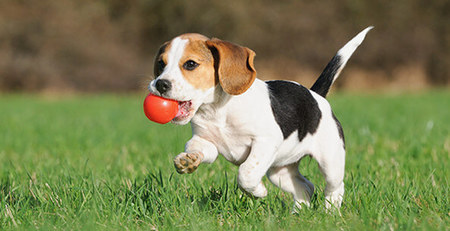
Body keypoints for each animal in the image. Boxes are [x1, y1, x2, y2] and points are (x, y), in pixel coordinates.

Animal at [148, 26, 372, 209]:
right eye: (161, 63)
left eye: (190, 64)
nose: (160, 84)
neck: (217, 110)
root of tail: (315, 95)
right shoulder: (206, 141)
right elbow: (197, 148)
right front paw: (188, 160)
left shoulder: (265, 142)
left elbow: (246, 173)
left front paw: (258, 192)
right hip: (279, 171)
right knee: (306, 187)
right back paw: (297, 214)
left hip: (330, 162)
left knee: (335, 187)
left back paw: (330, 212)